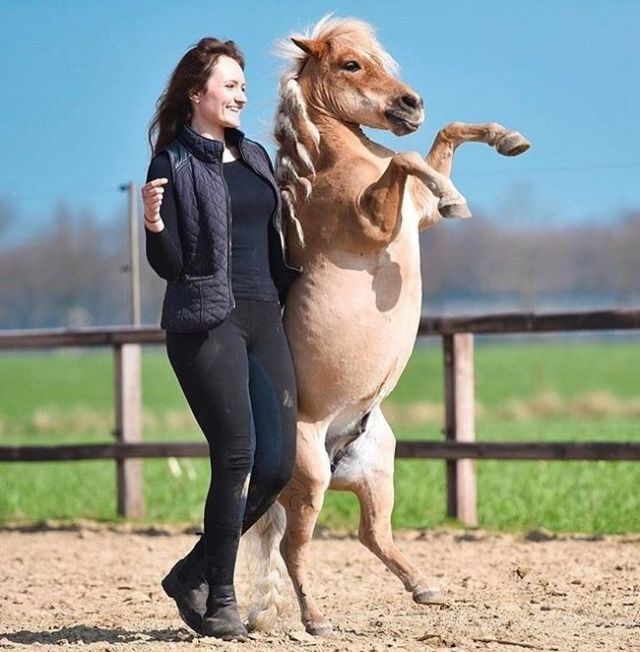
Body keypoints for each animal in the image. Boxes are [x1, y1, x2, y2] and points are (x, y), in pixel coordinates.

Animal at [245, 16, 528, 636]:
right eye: (351, 65)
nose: (410, 103)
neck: (334, 166)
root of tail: (332, 452)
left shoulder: (413, 218)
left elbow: (443, 137)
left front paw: (508, 139)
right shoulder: (375, 220)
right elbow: (408, 160)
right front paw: (456, 198)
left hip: (377, 470)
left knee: (371, 534)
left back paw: (427, 589)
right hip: (311, 481)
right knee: (296, 547)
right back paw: (317, 619)